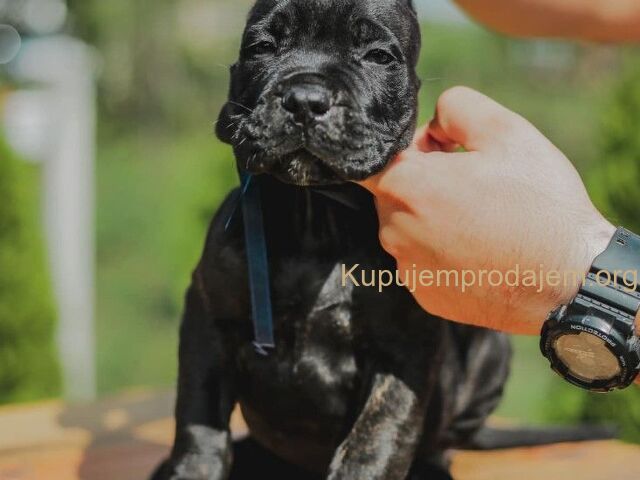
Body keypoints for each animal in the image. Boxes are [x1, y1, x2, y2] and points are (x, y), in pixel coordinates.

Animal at [152, 1, 612, 479]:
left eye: (377, 56)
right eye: (262, 47)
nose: (305, 99)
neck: (315, 215)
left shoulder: (404, 347)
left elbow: (379, 435)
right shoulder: (208, 316)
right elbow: (199, 417)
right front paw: (192, 468)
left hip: (490, 351)